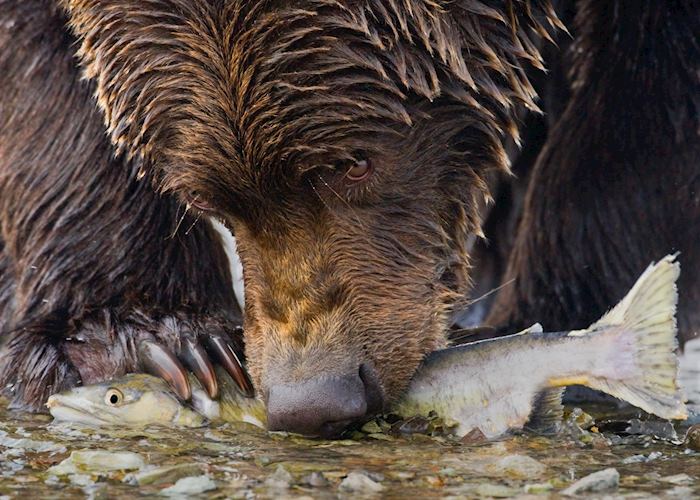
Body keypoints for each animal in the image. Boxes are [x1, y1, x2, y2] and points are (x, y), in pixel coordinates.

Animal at [1, 0, 697, 437]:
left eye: (354, 163)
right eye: (207, 196)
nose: (312, 400)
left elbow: (647, 100)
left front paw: (558, 303)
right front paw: (152, 343)